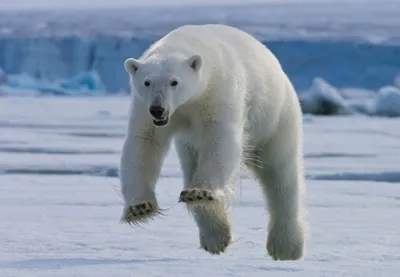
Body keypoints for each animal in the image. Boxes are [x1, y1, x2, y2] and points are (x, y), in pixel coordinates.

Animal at [119, 23, 306, 258]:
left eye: (174, 82)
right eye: (147, 82)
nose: (158, 109)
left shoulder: (218, 91)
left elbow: (220, 137)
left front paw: (199, 192)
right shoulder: (145, 108)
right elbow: (144, 141)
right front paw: (140, 207)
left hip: (276, 119)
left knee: (281, 174)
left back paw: (285, 247)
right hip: (189, 145)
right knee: (191, 166)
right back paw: (216, 236)